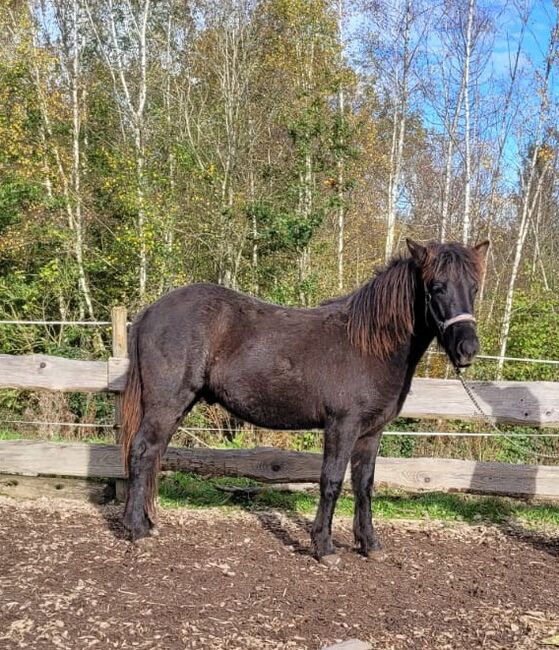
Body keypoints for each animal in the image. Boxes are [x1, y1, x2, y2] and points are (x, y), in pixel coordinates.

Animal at [123, 238, 490, 556]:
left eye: (474, 289)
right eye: (436, 287)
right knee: (141, 451)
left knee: (153, 454)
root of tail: (150, 312)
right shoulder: (342, 425)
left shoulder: (371, 432)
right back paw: (136, 529)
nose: (467, 349)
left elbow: (364, 484)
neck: (370, 345)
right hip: (166, 404)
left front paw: (369, 545)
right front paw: (324, 547)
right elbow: (332, 480)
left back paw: (146, 523)